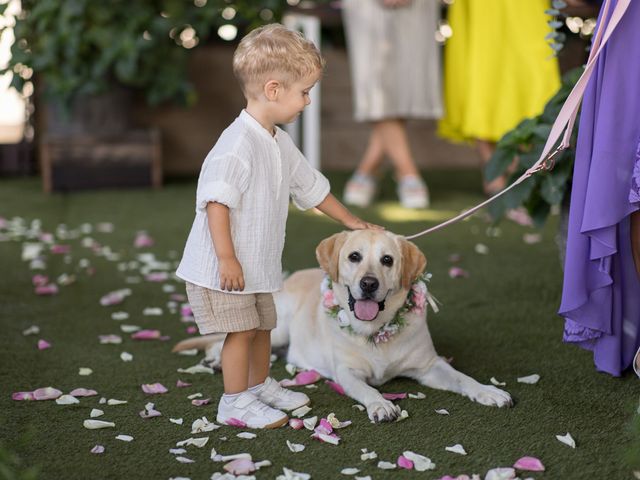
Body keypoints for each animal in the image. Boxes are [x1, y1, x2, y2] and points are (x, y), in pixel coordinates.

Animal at [172, 231, 512, 422]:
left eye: (387, 260)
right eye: (354, 257)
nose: (369, 283)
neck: (376, 333)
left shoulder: (430, 366)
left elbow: (463, 378)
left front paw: (488, 391)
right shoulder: (346, 373)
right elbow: (366, 389)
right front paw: (381, 405)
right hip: (275, 326)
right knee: (227, 340)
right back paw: (215, 359)